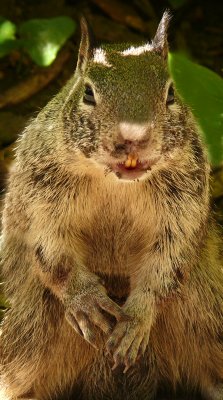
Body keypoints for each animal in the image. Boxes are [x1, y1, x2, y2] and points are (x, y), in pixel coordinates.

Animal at [0, 11, 223, 400]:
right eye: (87, 92)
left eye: (171, 93)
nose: (133, 137)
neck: (115, 184)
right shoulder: (40, 200)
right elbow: (52, 252)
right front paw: (84, 300)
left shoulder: (182, 210)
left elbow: (167, 265)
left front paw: (137, 319)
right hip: (29, 331)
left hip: (208, 311)